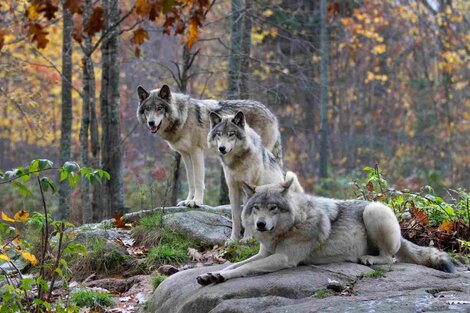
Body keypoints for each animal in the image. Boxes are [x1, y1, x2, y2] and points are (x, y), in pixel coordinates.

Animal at [136, 84, 282, 207]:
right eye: (147, 109)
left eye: (159, 108)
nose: (151, 123)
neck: (184, 117)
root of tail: (272, 114)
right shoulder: (185, 154)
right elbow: (191, 181)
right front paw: (188, 201)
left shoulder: (196, 152)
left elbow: (198, 181)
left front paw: (196, 202)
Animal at [197, 177, 456, 284]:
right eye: (257, 208)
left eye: (273, 208)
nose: (260, 224)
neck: (291, 226)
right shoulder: (265, 253)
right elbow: (234, 265)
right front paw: (213, 274)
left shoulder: (283, 258)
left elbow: (245, 268)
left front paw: (221, 277)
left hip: (373, 210)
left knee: (390, 258)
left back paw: (369, 259)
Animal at [207, 111, 302, 240]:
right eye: (219, 134)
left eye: (231, 134)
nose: (221, 148)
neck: (237, 162)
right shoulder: (233, 189)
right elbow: (236, 216)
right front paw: (233, 239)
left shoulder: (250, 187)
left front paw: (246, 238)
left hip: (290, 176)